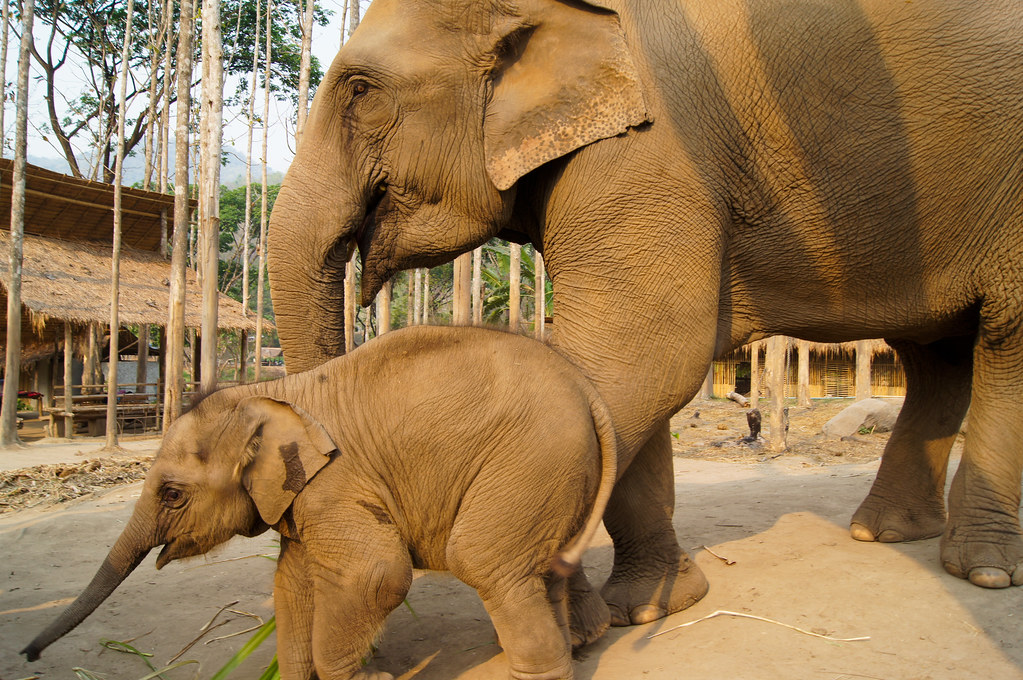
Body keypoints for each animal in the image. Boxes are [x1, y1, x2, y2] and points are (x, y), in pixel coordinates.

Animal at [22, 326, 618, 680]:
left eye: (171, 494)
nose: (28, 654)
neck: (266, 393)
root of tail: (586, 389)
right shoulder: (303, 500)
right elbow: (292, 584)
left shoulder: (336, 484)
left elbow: (375, 575)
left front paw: (370, 678)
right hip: (552, 478)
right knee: (542, 571)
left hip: (530, 462)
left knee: (484, 561)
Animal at [266, 0, 1023, 626]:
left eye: (360, 90)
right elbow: (629, 378)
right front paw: (648, 608)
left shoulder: (648, 151)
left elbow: (642, 357)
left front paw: (568, 618)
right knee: (935, 357)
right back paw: (886, 533)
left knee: (1003, 341)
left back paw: (982, 571)